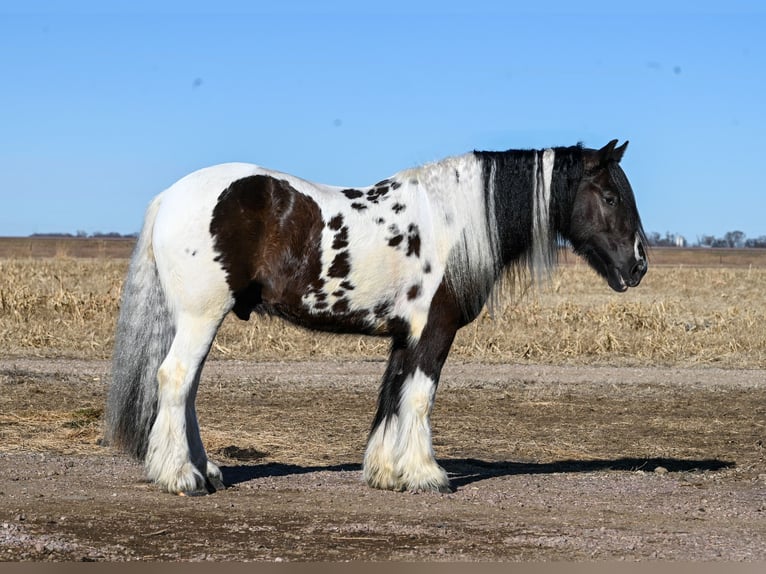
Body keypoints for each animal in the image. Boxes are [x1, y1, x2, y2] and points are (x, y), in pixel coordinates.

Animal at [105, 138, 652, 496]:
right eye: (609, 197)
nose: (639, 265)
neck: (452, 223)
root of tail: (171, 197)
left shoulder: (404, 335)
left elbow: (393, 394)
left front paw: (387, 473)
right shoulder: (434, 331)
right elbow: (420, 397)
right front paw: (427, 475)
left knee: (187, 389)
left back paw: (207, 471)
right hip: (201, 316)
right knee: (175, 379)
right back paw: (182, 478)